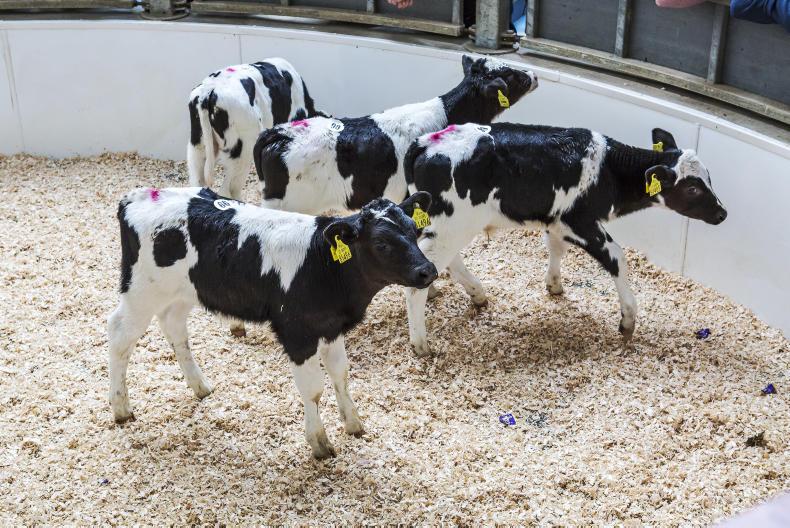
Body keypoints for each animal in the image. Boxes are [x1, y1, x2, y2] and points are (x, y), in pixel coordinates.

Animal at [108, 187, 437, 458]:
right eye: (381, 243)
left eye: (414, 230)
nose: (428, 270)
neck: (321, 265)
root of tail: (135, 197)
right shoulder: (298, 334)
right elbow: (313, 389)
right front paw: (319, 443)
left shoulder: (330, 326)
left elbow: (340, 374)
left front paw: (353, 423)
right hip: (140, 291)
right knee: (119, 336)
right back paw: (121, 407)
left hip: (181, 292)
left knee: (173, 326)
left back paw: (199, 386)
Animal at [403, 123, 728, 356]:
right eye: (693, 189)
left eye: (709, 178)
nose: (722, 213)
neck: (609, 171)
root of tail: (425, 143)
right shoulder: (579, 221)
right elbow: (617, 258)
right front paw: (628, 320)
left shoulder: (556, 219)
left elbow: (556, 248)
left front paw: (554, 285)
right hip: (452, 223)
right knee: (424, 273)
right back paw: (421, 344)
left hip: (445, 224)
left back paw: (477, 294)